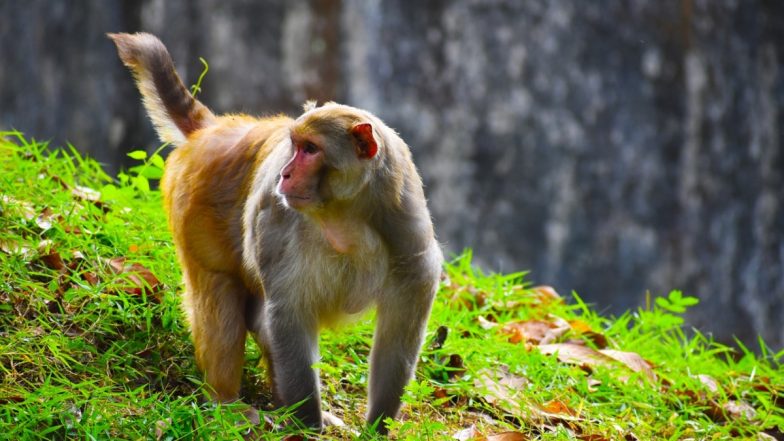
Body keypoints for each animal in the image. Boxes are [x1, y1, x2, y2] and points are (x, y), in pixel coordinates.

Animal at [107, 32, 444, 432]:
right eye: (294, 146)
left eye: (310, 149)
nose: (285, 172)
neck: (343, 213)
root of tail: (215, 130)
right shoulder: (277, 221)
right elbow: (288, 316)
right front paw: (308, 427)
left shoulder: (404, 225)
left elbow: (398, 335)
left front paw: (378, 426)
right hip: (193, 209)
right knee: (219, 299)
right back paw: (227, 403)